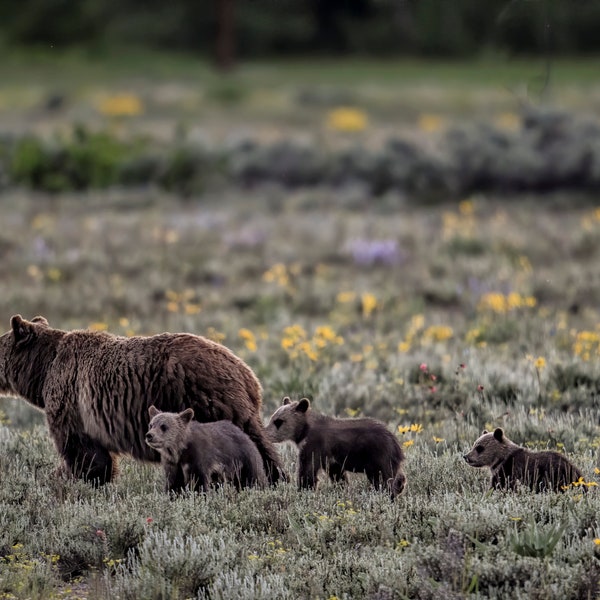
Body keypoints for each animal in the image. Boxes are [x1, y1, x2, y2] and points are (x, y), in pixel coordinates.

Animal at [0, 316, 284, 486]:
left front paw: (80, 480)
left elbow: (83, 451)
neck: (43, 369)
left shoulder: (72, 400)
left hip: (208, 400)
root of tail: (248, 375)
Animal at [268, 396, 408, 500]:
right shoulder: (331, 459)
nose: (266, 433)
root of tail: (397, 444)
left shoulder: (314, 446)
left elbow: (307, 471)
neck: (304, 432)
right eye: (272, 418)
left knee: (384, 479)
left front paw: (303, 490)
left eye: (279, 421)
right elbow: (338, 476)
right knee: (397, 477)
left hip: (380, 456)